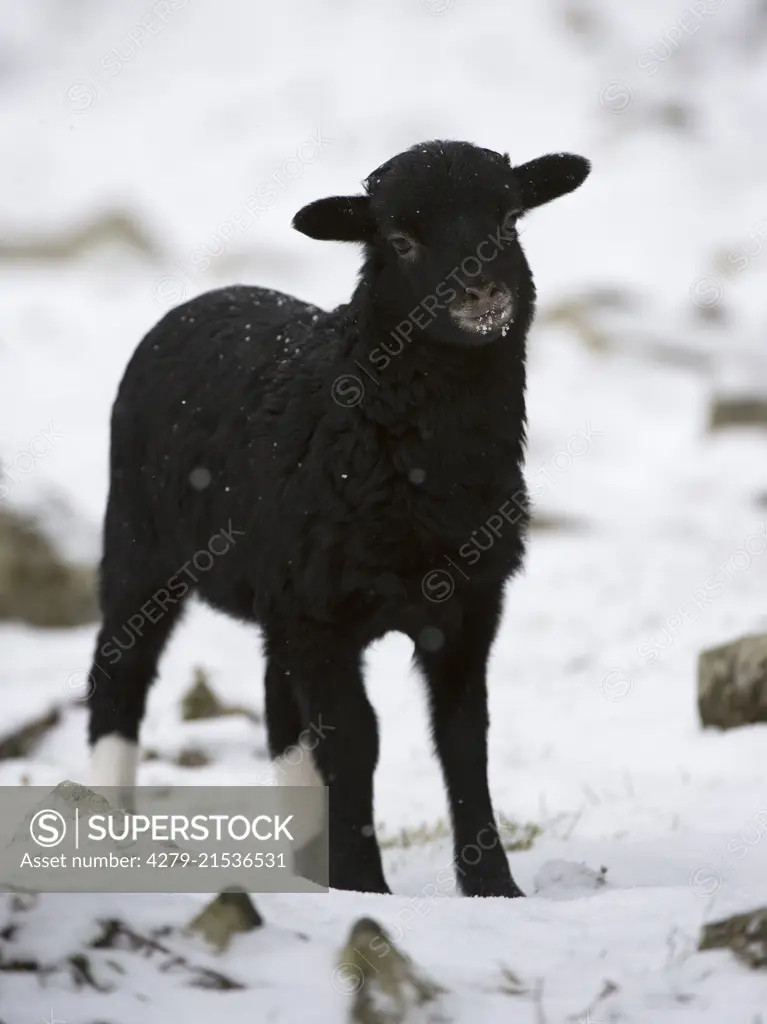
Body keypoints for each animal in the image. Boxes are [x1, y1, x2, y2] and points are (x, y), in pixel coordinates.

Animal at [86, 138, 589, 897]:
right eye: (400, 240)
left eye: (509, 220)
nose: (482, 295)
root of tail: (206, 298)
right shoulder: (320, 618)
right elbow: (356, 739)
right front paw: (365, 883)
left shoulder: (468, 605)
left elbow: (462, 738)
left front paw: (493, 887)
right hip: (140, 541)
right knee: (119, 674)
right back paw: (108, 833)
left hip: (274, 595)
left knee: (281, 716)